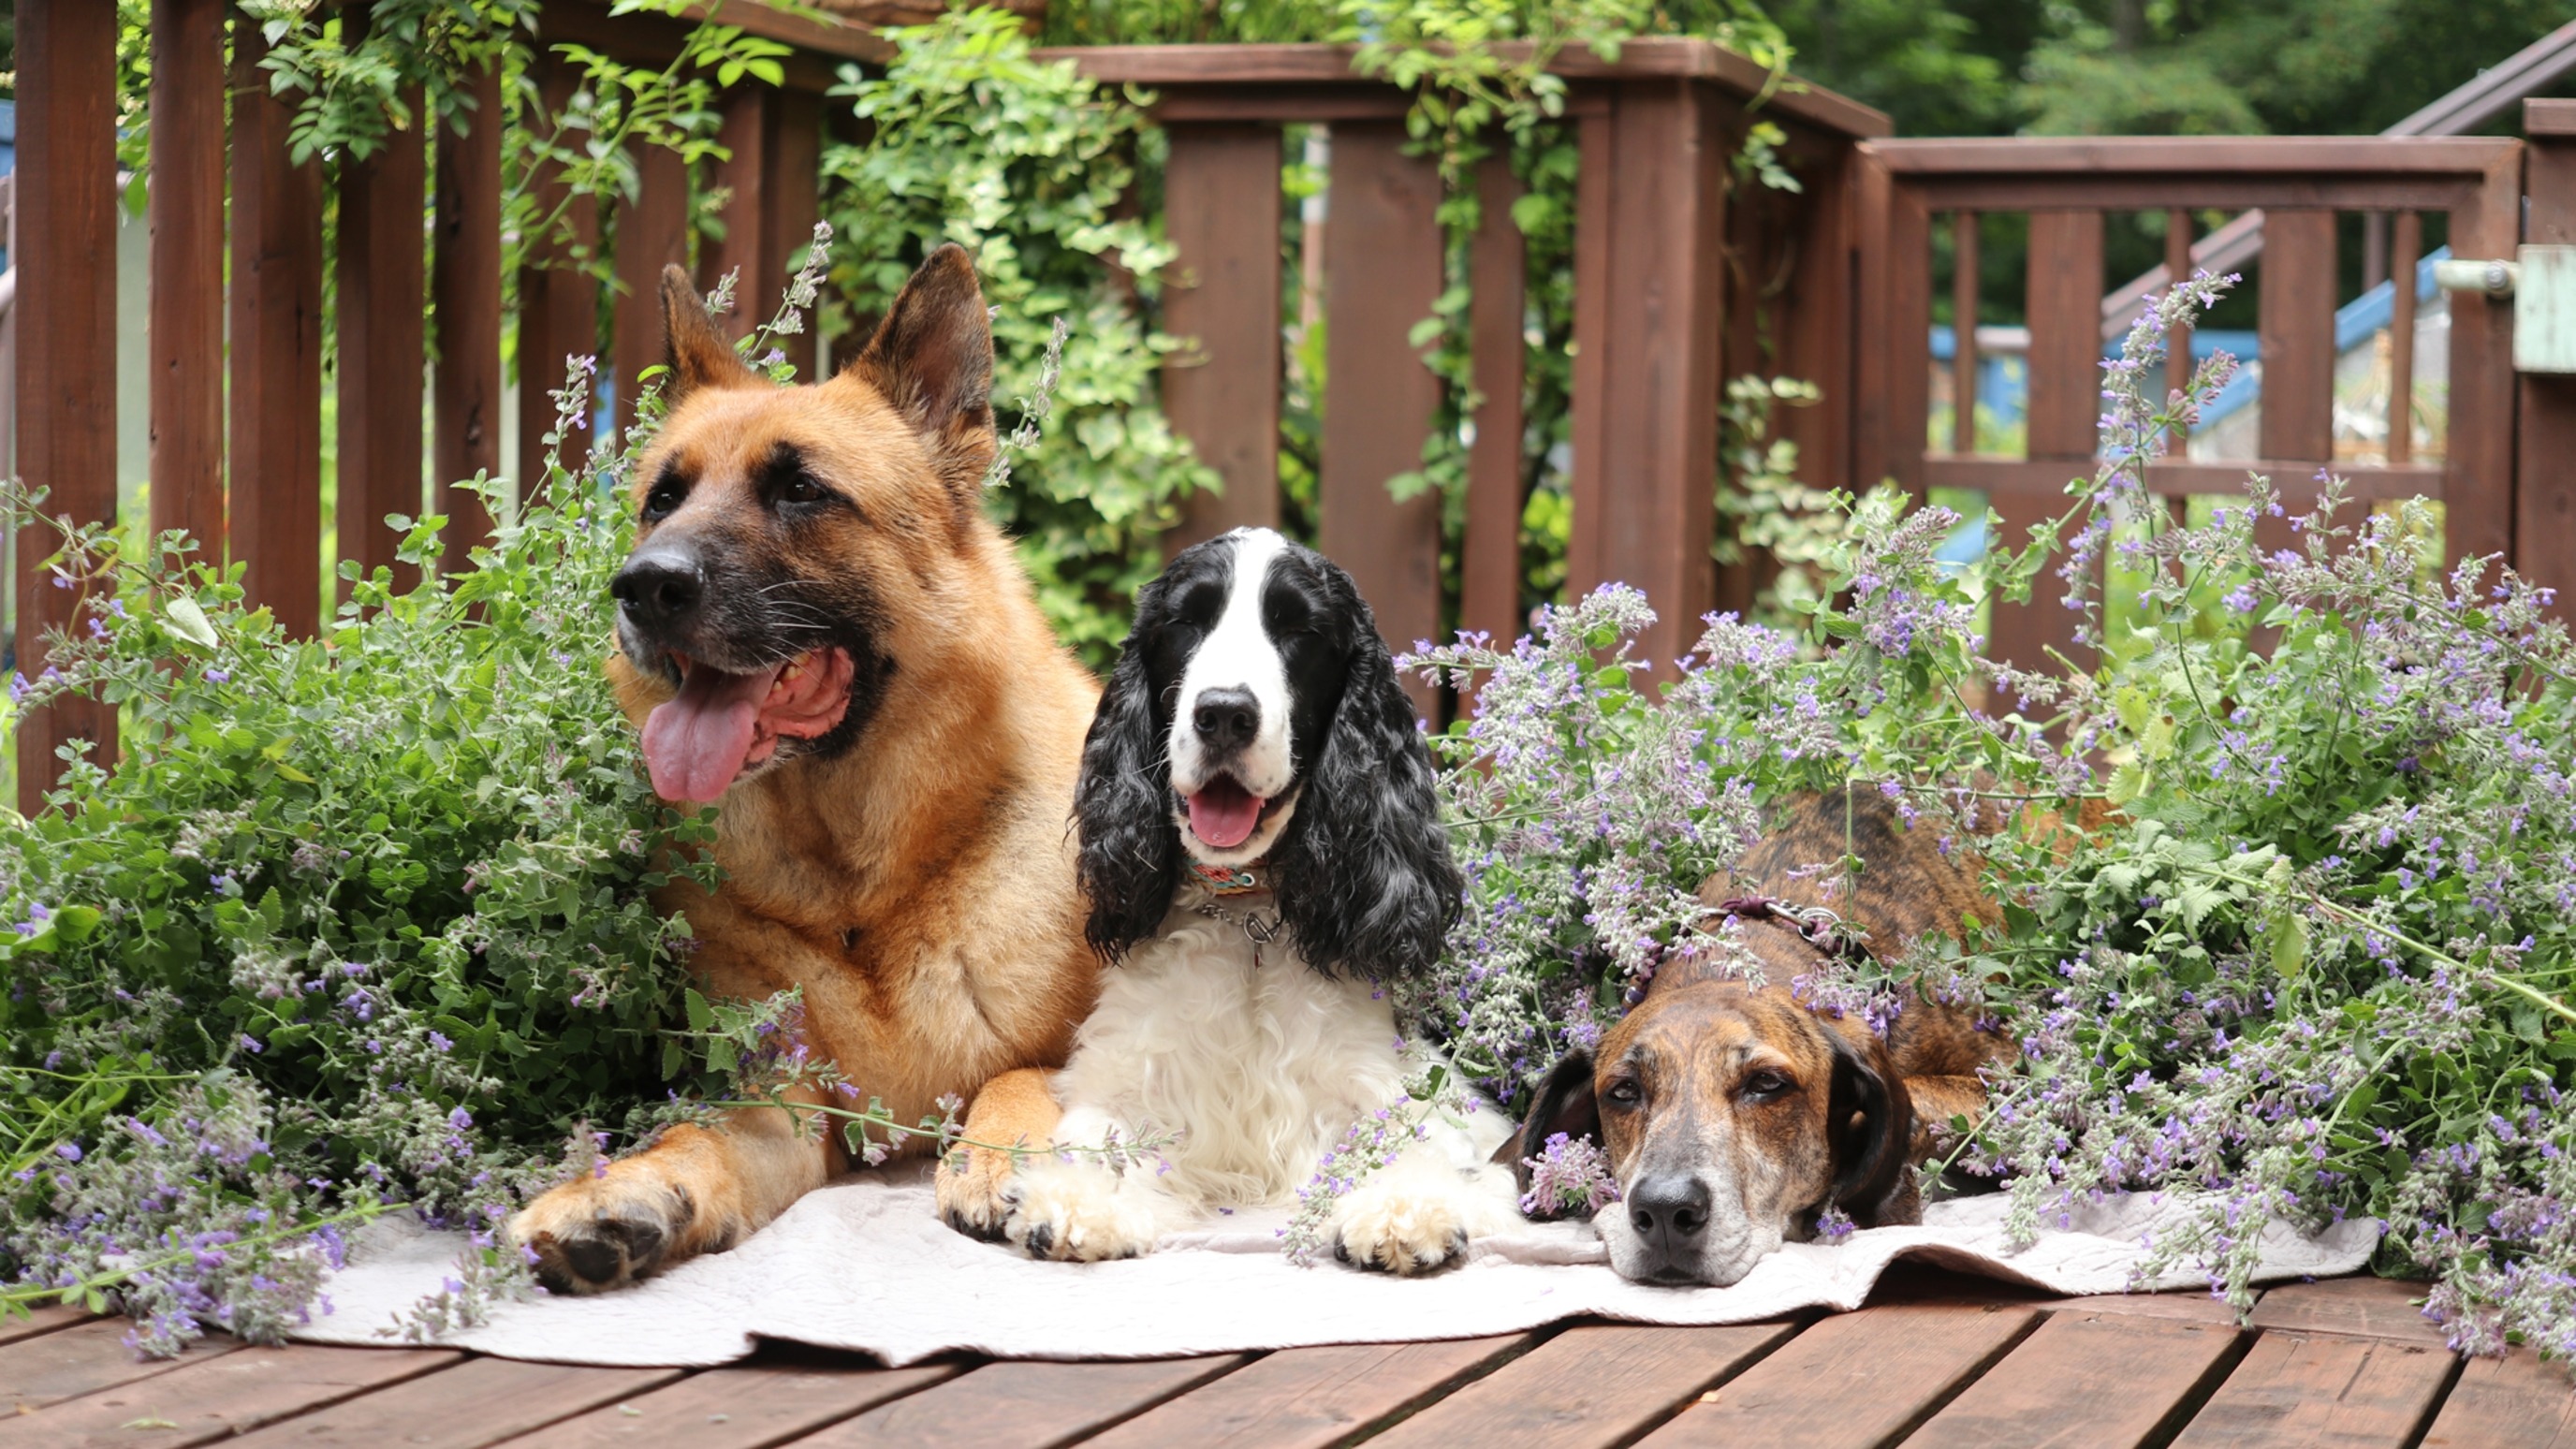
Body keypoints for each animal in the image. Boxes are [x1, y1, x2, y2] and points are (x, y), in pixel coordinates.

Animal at [509, 244, 1097, 1283]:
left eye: (801, 491)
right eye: (662, 499)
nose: (642, 587)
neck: (866, 894)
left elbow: (1026, 1076)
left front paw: (1007, 1154)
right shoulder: (782, 1110)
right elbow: (697, 1136)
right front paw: (619, 1191)